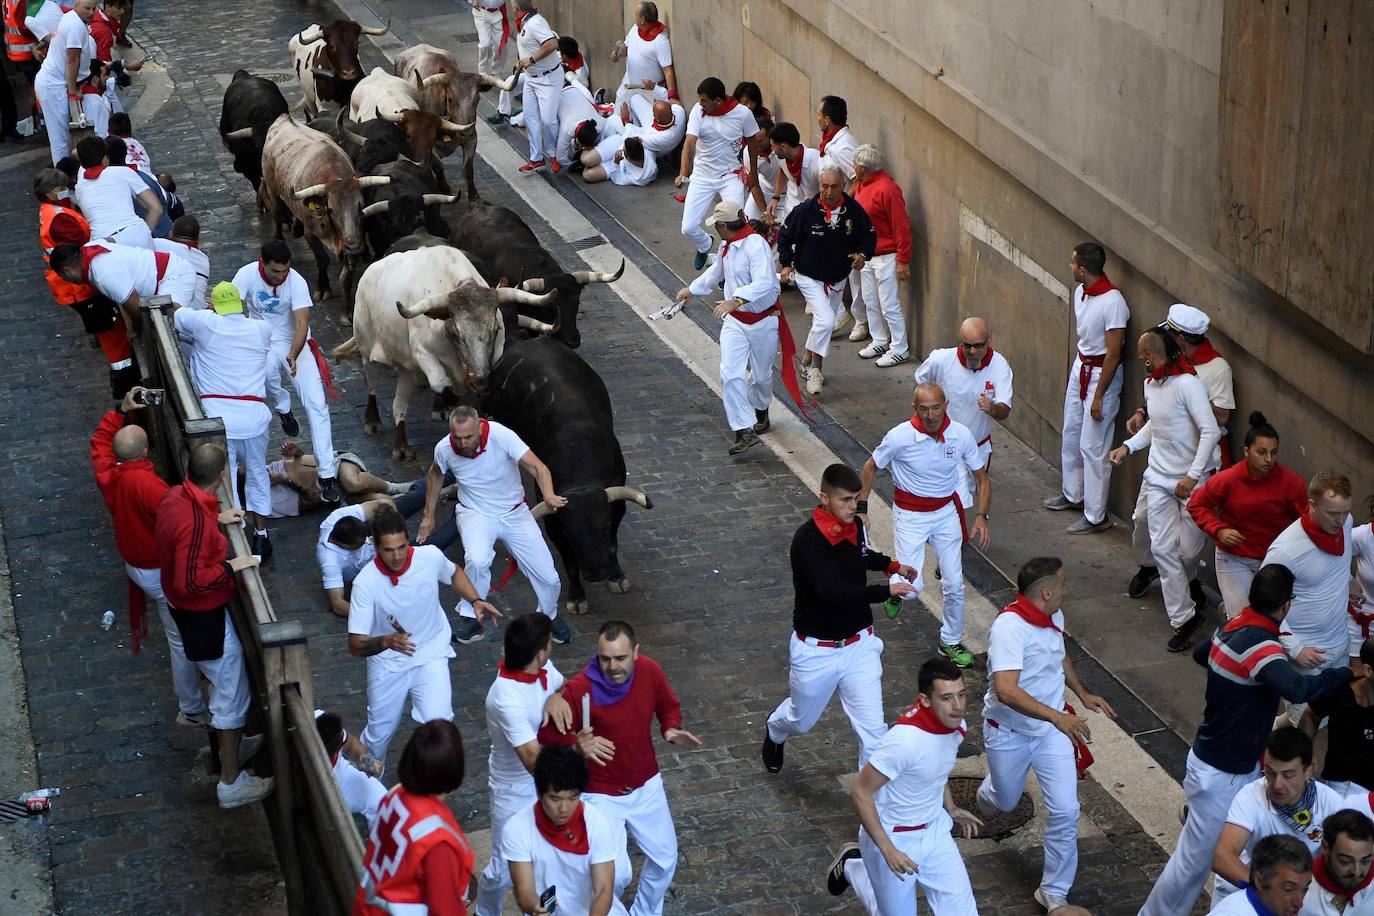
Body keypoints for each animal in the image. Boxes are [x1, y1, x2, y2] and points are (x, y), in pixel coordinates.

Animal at [335, 243, 555, 458]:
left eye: (495, 330)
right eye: (457, 333)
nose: (479, 380)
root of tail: (368, 273)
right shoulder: (422, 351)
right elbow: (441, 383)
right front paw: (444, 404)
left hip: (406, 368)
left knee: (400, 405)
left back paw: (402, 447)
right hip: (366, 349)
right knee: (371, 383)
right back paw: (372, 421)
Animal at [483, 336, 654, 615]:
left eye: (604, 526)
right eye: (570, 533)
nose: (595, 573)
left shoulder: (616, 506)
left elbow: (613, 544)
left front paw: (616, 576)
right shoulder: (554, 521)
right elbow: (569, 562)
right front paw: (576, 597)